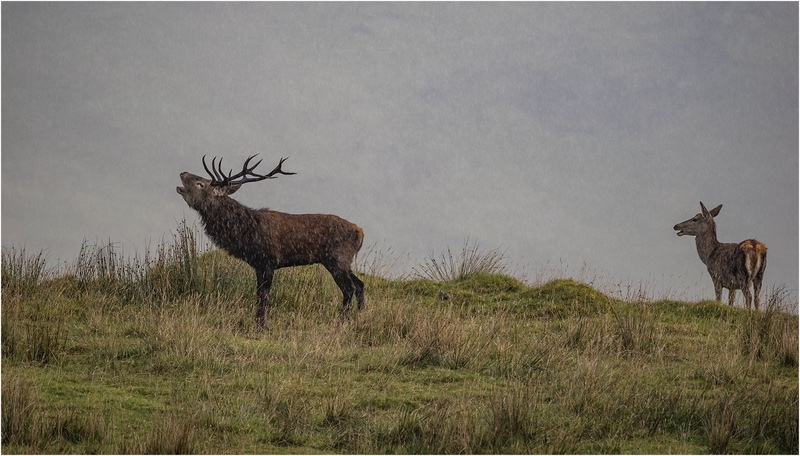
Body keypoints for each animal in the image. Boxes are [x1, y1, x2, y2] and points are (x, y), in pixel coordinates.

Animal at [176, 155, 365, 329]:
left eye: (201, 183)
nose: (182, 173)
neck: (245, 234)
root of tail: (360, 232)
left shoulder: (268, 261)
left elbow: (264, 295)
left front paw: (262, 326)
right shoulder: (258, 265)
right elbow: (258, 293)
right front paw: (257, 322)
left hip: (337, 259)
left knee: (349, 289)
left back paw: (340, 323)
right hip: (342, 262)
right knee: (360, 284)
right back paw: (360, 316)